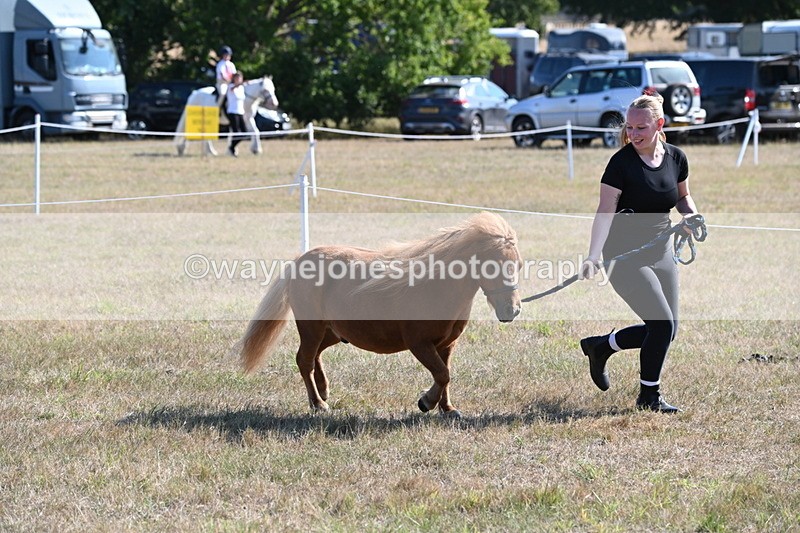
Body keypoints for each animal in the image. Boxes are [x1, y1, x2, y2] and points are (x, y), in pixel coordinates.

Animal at [239, 212, 523, 418]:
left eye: (518, 265)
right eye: (493, 266)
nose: (513, 310)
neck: (436, 285)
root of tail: (300, 261)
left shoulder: (446, 344)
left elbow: (445, 375)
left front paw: (447, 408)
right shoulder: (419, 344)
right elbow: (442, 374)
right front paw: (426, 402)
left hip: (333, 331)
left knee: (314, 356)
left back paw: (324, 389)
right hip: (312, 327)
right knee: (304, 360)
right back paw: (318, 403)